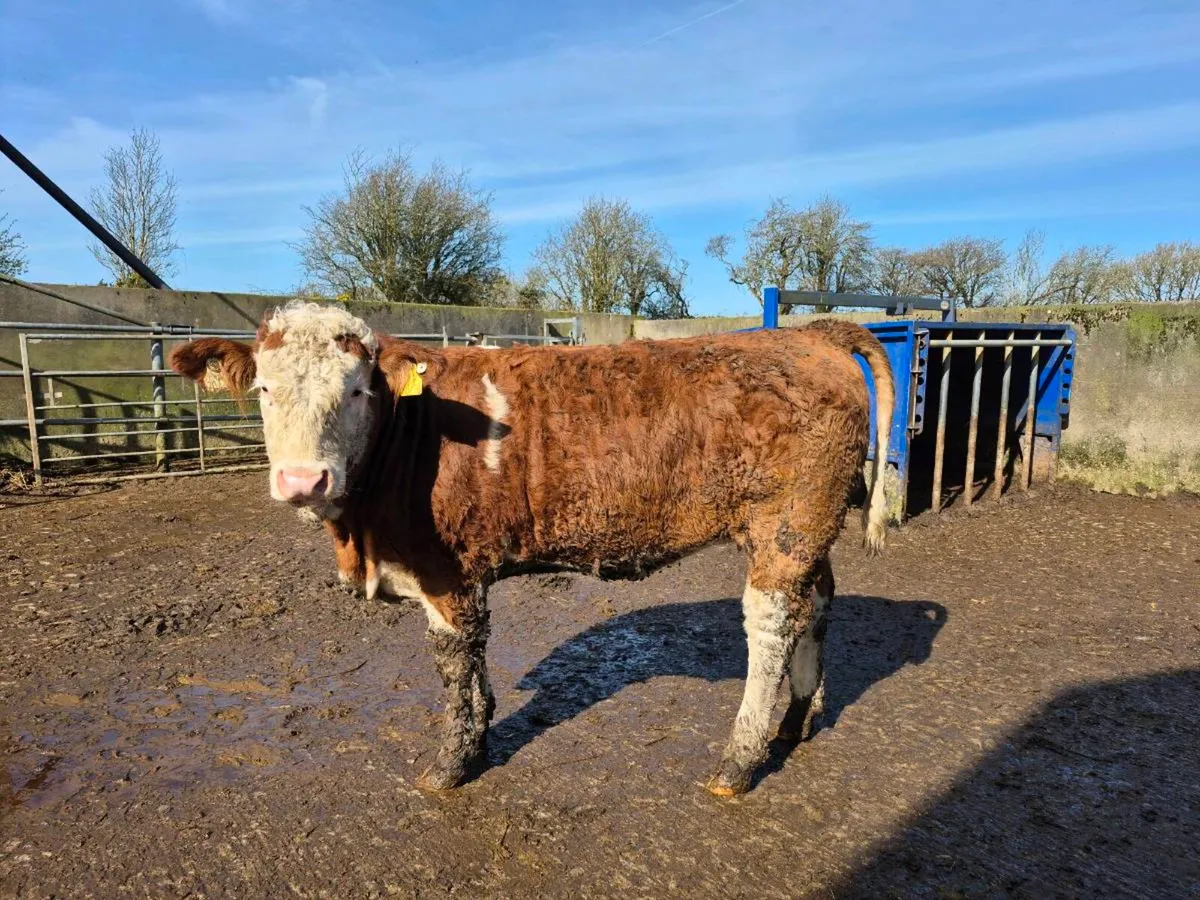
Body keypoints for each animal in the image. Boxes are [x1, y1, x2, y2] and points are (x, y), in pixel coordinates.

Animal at [169, 302, 894, 797]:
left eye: (356, 389)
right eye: (263, 390)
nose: (302, 480)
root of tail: (807, 332)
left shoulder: (445, 571)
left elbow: (455, 664)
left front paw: (452, 762)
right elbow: (475, 662)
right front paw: (482, 732)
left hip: (786, 524)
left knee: (769, 626)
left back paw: (739, 761)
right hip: (811, 530)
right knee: (816, 605)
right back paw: (799, 717)